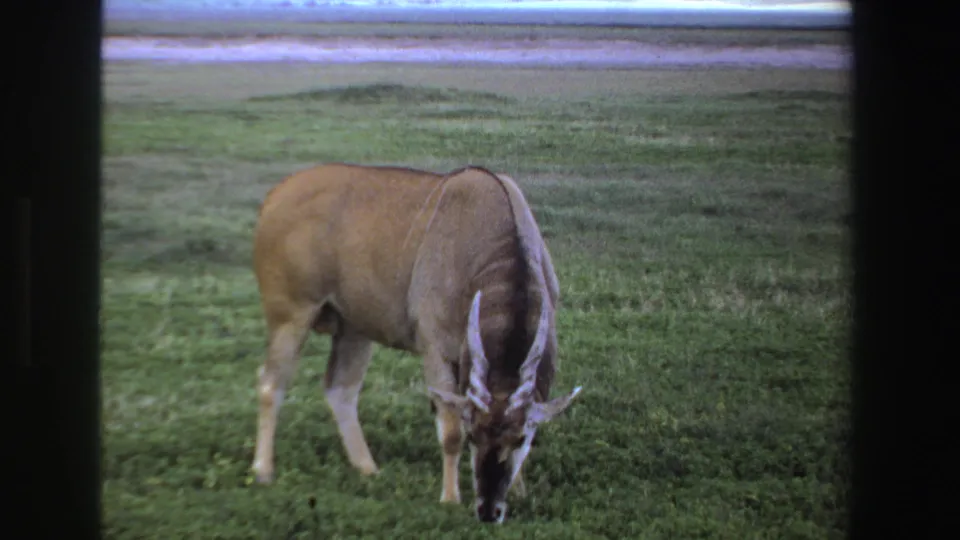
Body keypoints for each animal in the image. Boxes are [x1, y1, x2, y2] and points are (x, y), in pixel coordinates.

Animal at [250, 163, 582, 523]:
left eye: (520, 438)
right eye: (473, 434)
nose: (488, 510)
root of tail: (275, 196)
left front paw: (519, 490)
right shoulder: (435, 349)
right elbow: (449, 430)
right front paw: (450, 498)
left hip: (354, 328)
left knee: (339, 389)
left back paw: (368, 469)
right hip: (292, 315)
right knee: (270, 384)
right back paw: (263, 470)